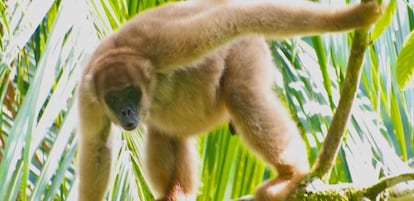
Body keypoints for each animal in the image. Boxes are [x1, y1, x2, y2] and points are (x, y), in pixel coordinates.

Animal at [77, 0, 382, 200]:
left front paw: (353, 17)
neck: (122, 51)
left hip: (247, 47)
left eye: (131, 92)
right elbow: (96, 146)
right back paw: (177, 192)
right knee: (165, 129)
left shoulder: (163, 44)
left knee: (240, 93)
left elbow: (233, 17)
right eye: (114, 98)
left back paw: (290, 175)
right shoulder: (88, 93)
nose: (127, 112)